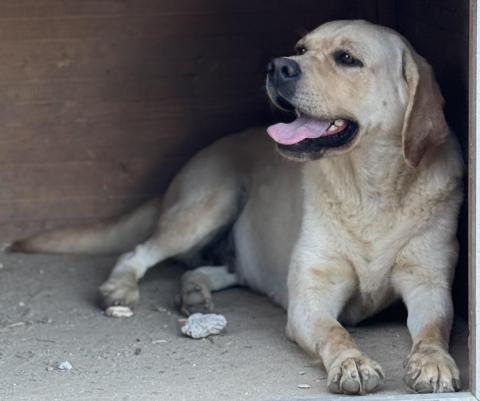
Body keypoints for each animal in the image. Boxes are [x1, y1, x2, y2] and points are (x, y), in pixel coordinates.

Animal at [9, 20, 464, 392]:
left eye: (347, 58)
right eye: (300, 47)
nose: (278, 66)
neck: (370, 191)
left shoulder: (428, 284)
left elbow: (435, 328)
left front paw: (434, 363)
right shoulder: (311, 297)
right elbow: (336, 333)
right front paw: (353, 363)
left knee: (209, 268)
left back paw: (194, 293)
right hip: (210, 205)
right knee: (136, 252)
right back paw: (121, 287)